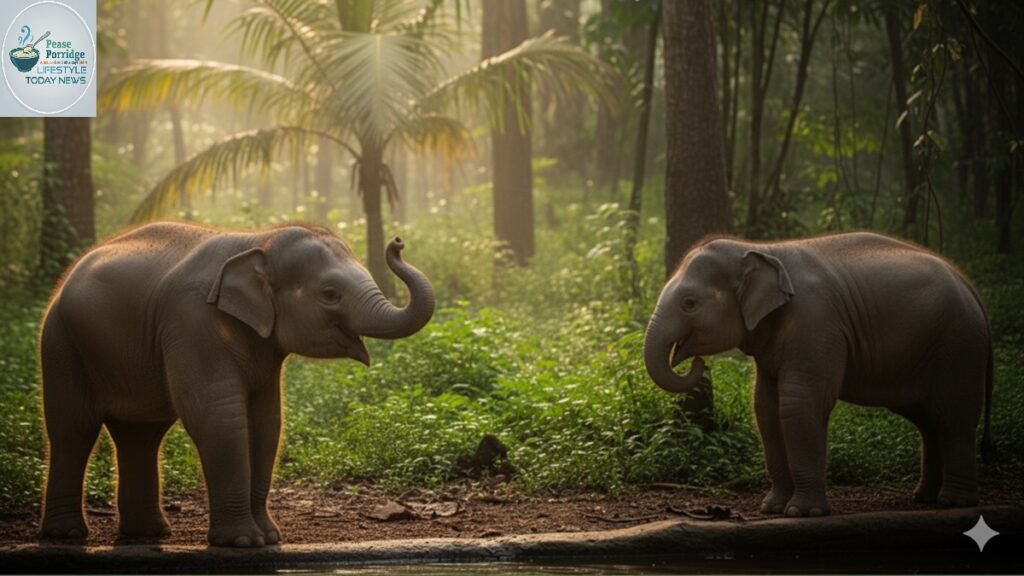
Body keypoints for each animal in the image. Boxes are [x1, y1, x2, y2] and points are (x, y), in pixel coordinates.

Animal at [38, 222, 434, 547]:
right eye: (330, 294)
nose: (398, 242)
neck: (257, 240)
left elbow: (267, 421)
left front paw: (270, 537)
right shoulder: (191, 322)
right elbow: (218, 416)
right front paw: (243, 541)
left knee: (141, 434)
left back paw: (148, 533)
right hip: (60, 343)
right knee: (73, 428)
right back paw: (67, 534)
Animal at [643, 232, 992, 517]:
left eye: (689, 303)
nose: (696, 361)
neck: (761, 248)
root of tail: (970, 286)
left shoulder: (816, 322)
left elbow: (800, 403)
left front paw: (802, 512)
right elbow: (765, 407)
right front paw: (772, 508)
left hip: (958, 346)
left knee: (953, 415)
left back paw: (954, 502)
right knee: (928, 420)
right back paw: (924, 498)